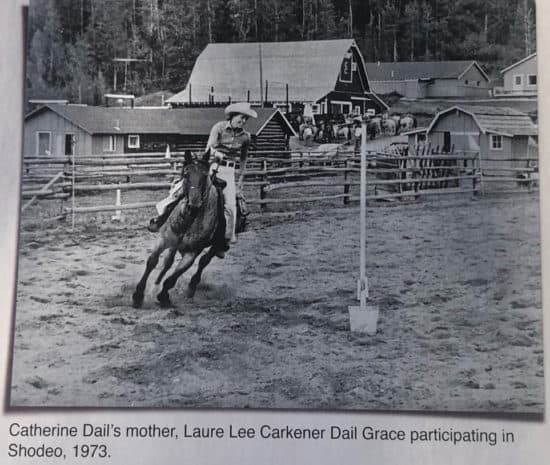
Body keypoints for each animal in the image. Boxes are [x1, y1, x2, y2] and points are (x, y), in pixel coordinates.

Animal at [133, 149, 226, 308]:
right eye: (186, 175)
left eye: (205, 176)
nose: (193, 206)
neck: (188, 221)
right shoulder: (164, 239)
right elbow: (152, 262)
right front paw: (138, 295)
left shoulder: (192, 252)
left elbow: (174, 276)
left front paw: (163, 296)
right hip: (174, 244)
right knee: (168, 263)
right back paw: (154, 288)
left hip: (214, 246)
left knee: (204, 261)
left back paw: (191, 288)